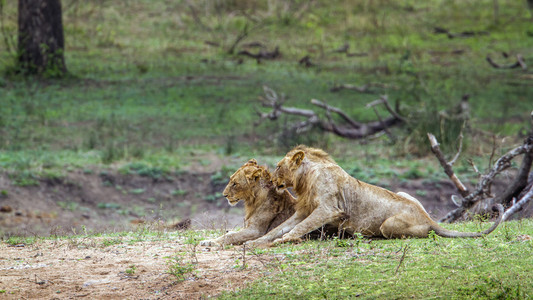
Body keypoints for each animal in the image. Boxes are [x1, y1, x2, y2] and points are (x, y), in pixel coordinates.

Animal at [245, 145, 502, 246]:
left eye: (278, 166)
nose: (271, 180)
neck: (306, 178)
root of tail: (429, 219)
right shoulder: (305, 210)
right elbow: (282, 227)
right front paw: (255, 242)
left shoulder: (328, 209)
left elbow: (299, 228)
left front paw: (282, 241)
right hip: (403, 193)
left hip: (388, 225)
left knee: (414, 234)